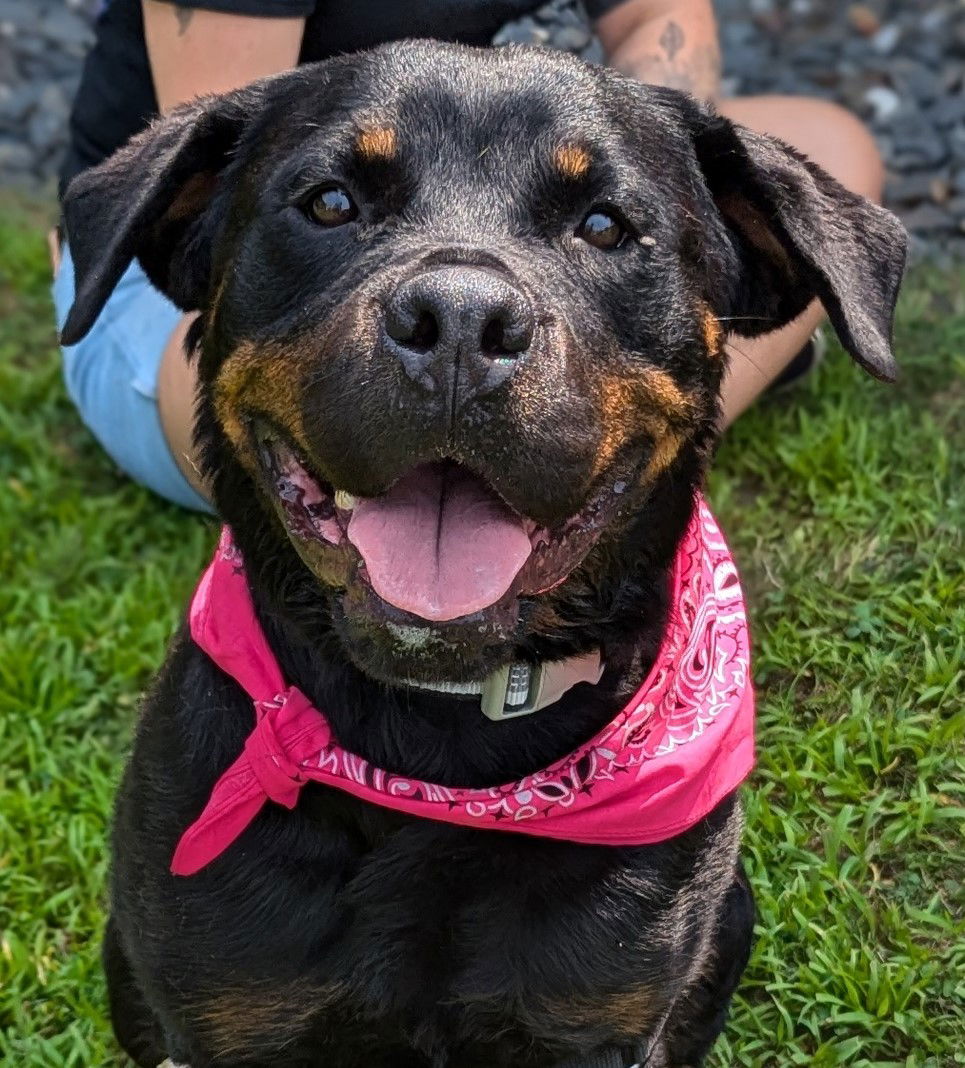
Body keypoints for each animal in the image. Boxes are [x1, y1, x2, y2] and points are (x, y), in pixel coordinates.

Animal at [60, 37, 905, 1063]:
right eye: (330, 202)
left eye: (604, 224)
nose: (460, 320)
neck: (439, 750)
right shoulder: (226, 1008)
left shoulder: (599, 1018)